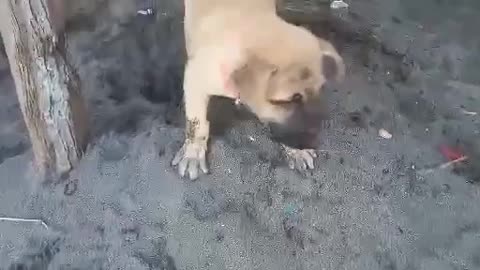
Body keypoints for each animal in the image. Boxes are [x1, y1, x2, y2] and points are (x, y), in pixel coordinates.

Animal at [172, 0, 344, 179]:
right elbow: (197, 124)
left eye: (320, 89)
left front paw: (297, 152)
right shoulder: (195, 79)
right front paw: (192, 153)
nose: (316, 142)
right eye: (290, 100)